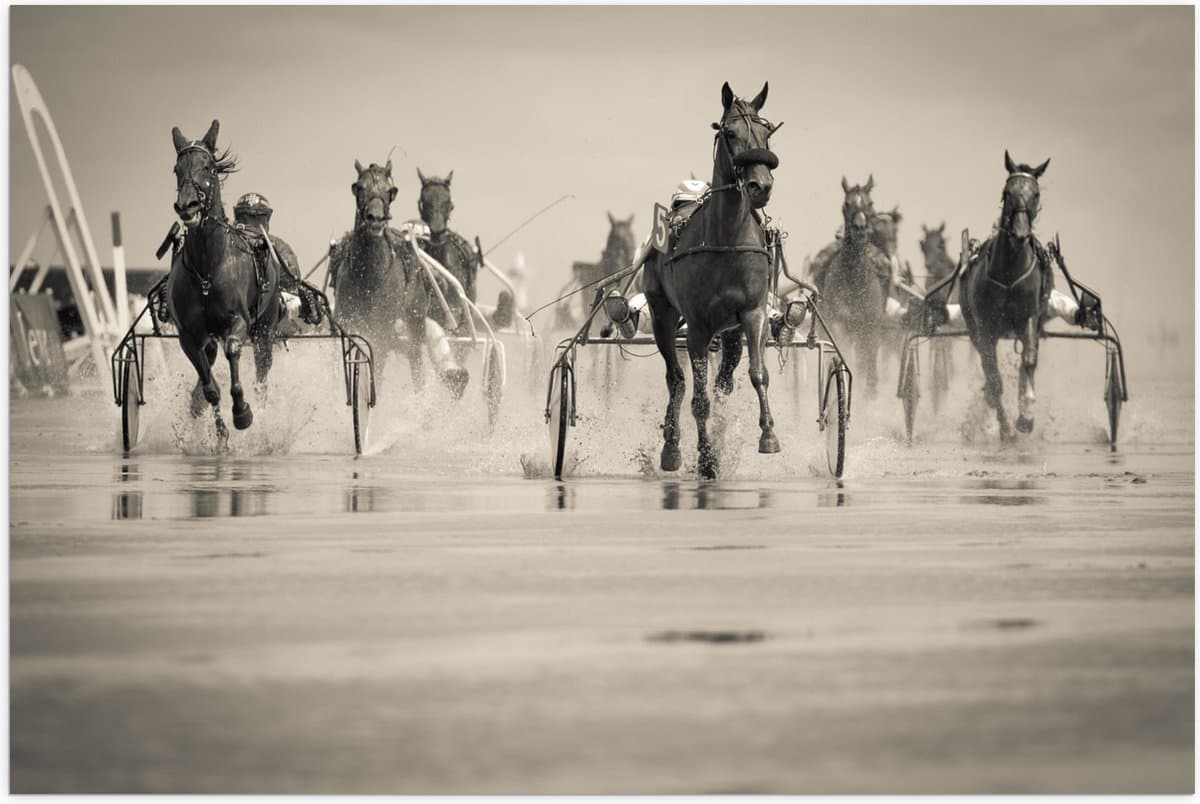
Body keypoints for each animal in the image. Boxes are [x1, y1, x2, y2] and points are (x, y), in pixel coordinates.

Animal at [167, 120, 281, 439]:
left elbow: (233, 350)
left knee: (262, 375)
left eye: (208, 167)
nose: (188, 206)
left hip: (265, 329)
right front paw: (220, 434)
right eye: (177, 168)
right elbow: (209, 388)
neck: (208, 267)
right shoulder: (189, 336)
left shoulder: (239, 322)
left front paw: (242, 412)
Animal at [330, 159, 431, 389]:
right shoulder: (346, 321)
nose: (375, 218)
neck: (369, 277)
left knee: (416, 360)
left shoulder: (381, 330)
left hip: (415, 319)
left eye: (389, 190)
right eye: (359, 187)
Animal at [642, 81, 782, 479]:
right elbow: (698, 397)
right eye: (730, 132)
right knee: (676, 380)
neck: (727, 239)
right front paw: (706, 459)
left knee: (725, 378)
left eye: (767, 132)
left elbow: (757, 374)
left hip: (730, 330)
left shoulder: (752, 313)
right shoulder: (699, 327)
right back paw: (672, 448)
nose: (760, 186)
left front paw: (768, 435)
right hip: (662, 314)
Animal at [820, 176, 893, 396]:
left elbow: (868, 367)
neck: (855, 282)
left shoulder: (870, 328)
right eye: (846, 204)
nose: (860, 229)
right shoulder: (838, 325)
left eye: (870, 203)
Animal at [960, 151, 1053, 442]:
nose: (1020, 233)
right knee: (989, 370)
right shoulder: (985, 326)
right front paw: (1006, 428)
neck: (1010, 272)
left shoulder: (1029, 317)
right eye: (1007, 192)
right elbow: (994, 377)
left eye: (1036, 193)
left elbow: (1030, 362)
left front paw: (1026, 417)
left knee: (1026, 363)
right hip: (974, 328)